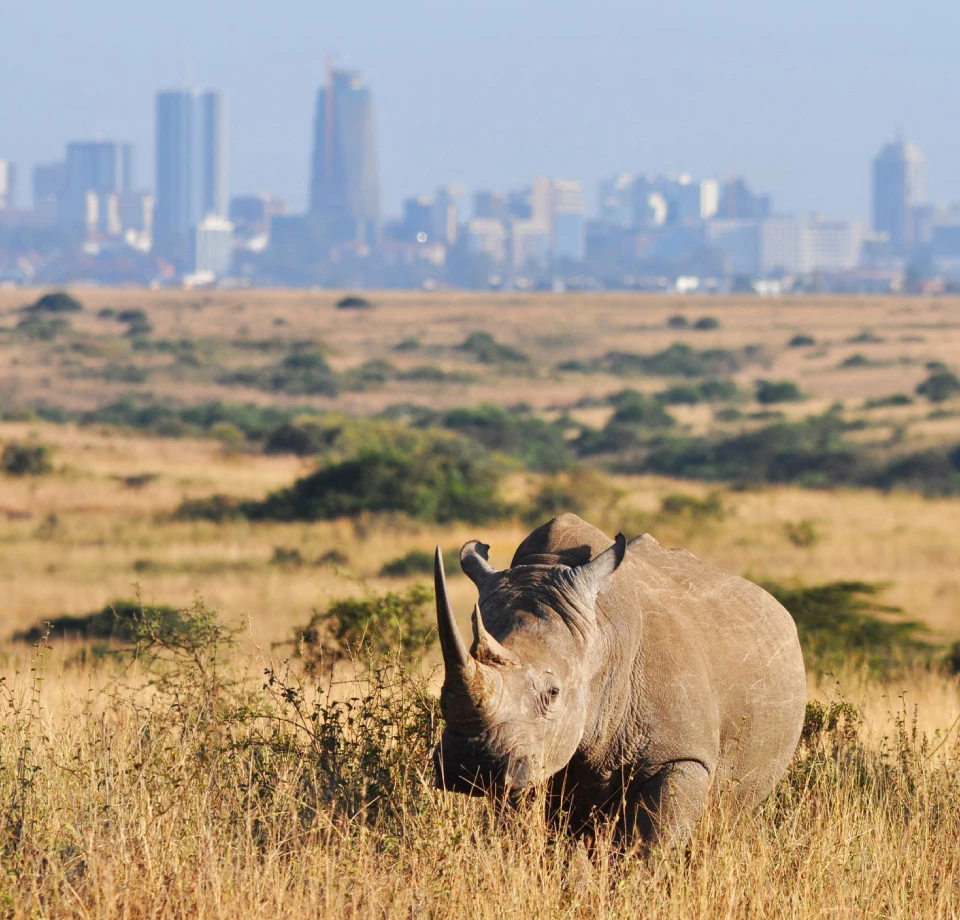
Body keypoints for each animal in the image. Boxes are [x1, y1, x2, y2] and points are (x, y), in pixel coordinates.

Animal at [432, 514, 807, 848]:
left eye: (553, 693)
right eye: (442, 696)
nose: (471, 763)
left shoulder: (681, 757)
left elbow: (651, 846)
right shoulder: (529, 756)